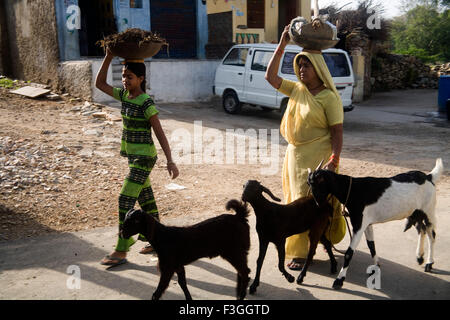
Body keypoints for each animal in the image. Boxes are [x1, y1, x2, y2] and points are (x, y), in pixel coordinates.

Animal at [119, 200, 251, 300]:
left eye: (136, 220)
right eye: (125, 218)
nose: (122, 233)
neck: (162, 237)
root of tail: (239, 216)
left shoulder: (168, 268)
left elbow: (158, 292)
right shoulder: (178, 266)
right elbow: (183, 283)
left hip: (234, 252)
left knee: (245, 272)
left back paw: (241, 296)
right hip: (237, 252)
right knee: (242, 272)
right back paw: (239, 294)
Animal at [308, 158, 444, 290]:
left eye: (317, 183)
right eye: (309, 184)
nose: (318, 204)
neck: (353, 191)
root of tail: (429, 177)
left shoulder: (359, 224)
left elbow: (349, 253)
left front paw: (339, 280)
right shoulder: (367, 223)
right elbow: (371, 245)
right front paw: (376, 266)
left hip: (428, 210)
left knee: (431, 235)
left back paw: (429, 263)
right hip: (415, 212)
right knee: (421, 230)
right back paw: (420, 257)